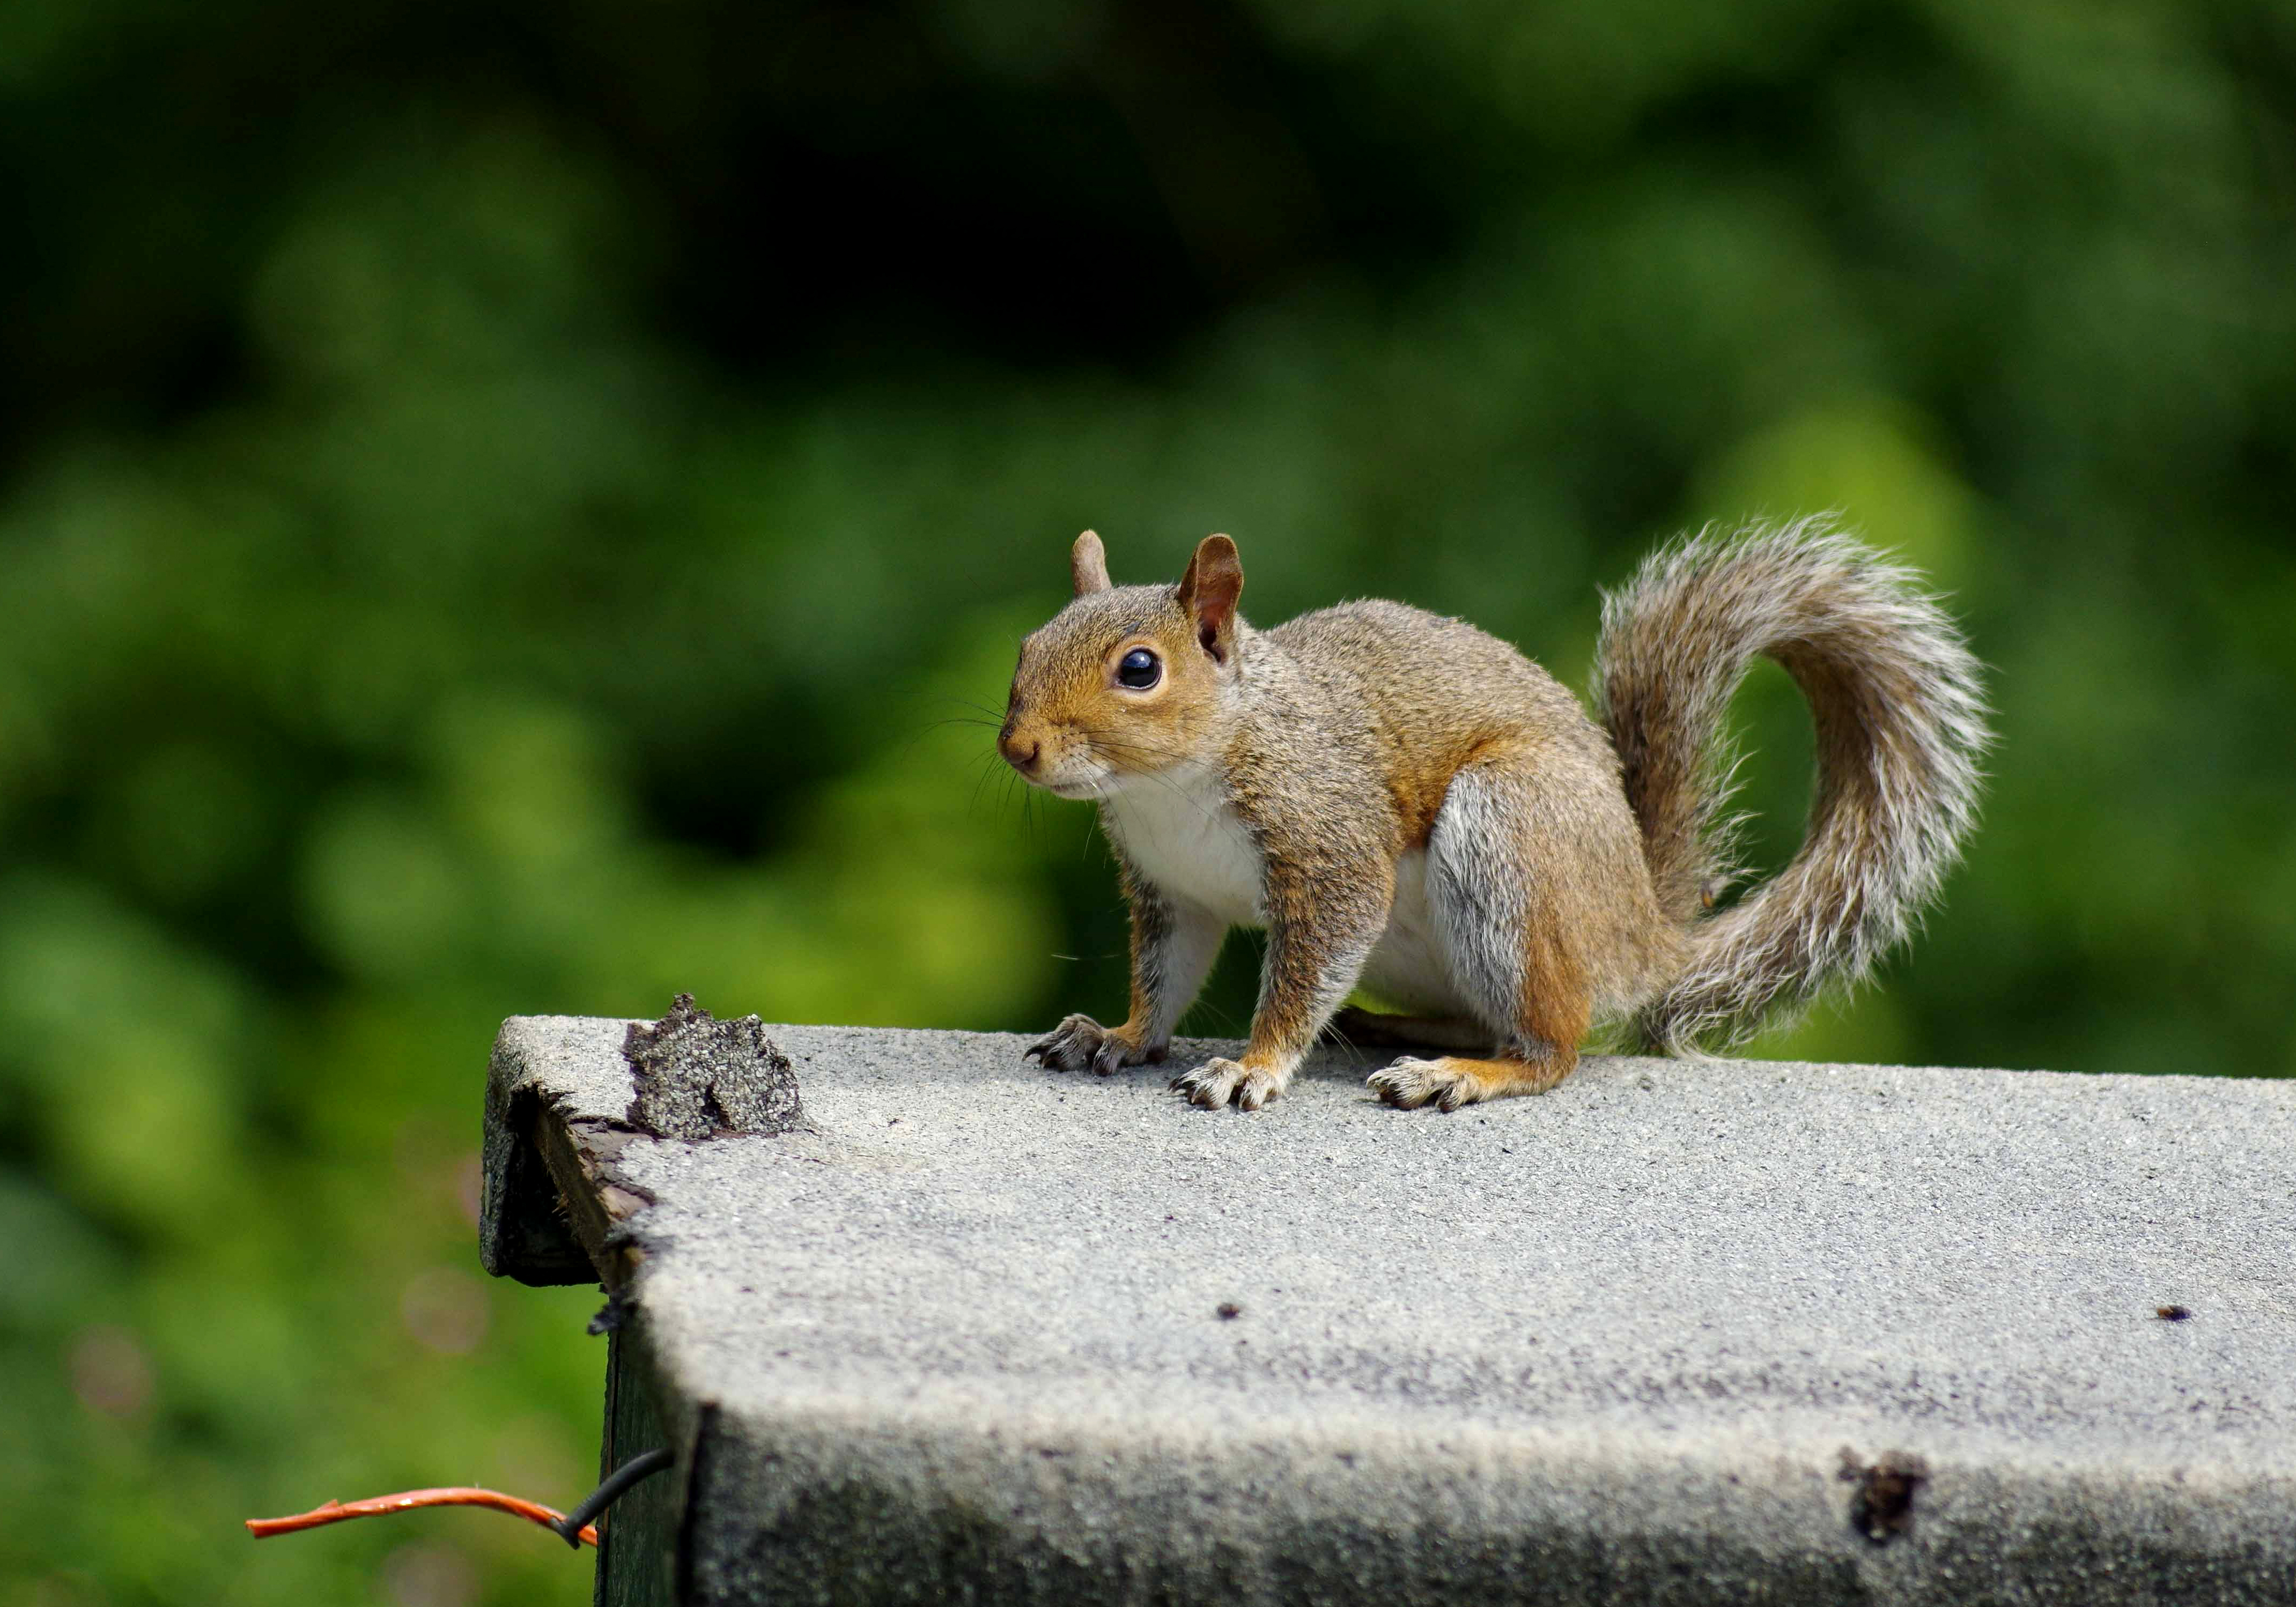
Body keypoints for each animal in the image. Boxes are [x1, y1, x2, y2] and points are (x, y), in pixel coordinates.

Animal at [999, 520, 1988, 1113]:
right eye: (1027, 645)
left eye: (1139, 669)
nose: (1018, 748)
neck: (1169, 786)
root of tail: (1641, 926)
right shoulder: (1173, 889)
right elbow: (1165, 976)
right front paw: (1119, 1035)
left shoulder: (1331, 841)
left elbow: (1305, 969)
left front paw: (1253, 1064)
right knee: (1489, 1016)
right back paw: (1396, 1030)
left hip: (1510, 830)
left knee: (1553, 1046)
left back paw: (1462, 1076)